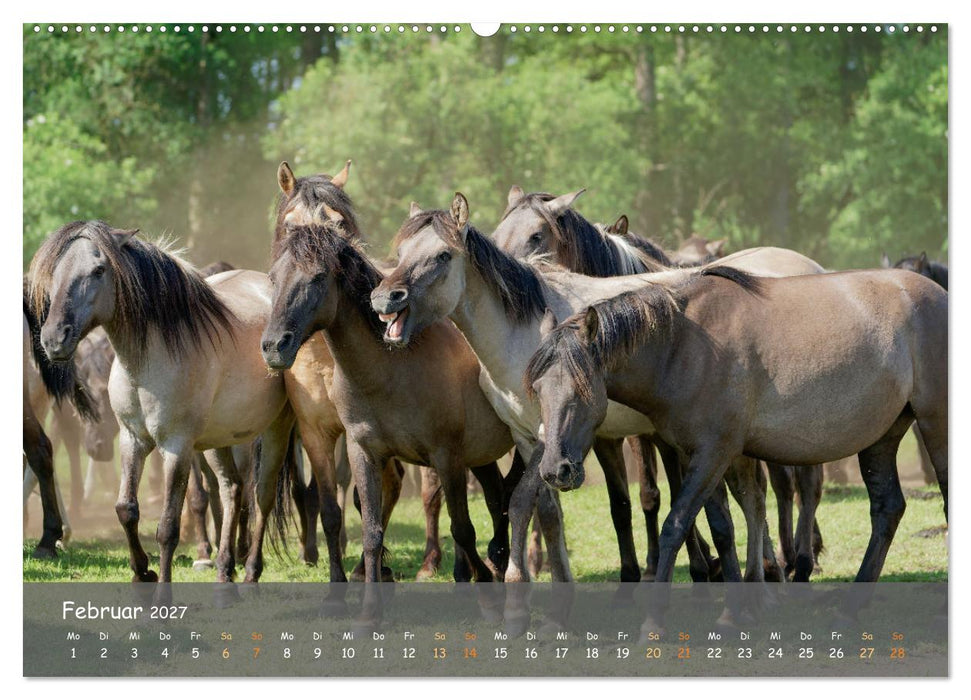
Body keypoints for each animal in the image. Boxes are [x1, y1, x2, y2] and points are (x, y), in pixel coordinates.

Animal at [28, 221, 296, 594]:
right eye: (55, 271)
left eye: (98, 270)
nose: (53, 340)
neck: (149, 360)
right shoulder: (133, 439)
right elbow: (126, 509)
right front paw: (143, 572)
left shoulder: (176, 447)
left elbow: (168, 527)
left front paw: (162, 593)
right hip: (219, 440)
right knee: (231, 489)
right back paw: (224, 572)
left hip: (274, 430)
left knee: (262, 495)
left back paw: (250, 572)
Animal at [260, 212, 514, 589]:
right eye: (273, 277)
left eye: (318, 277)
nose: (275, 346)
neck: (392, 371)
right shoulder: (360, 451)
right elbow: (368, 530)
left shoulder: (447, 457)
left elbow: (463, 529)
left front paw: (476, 575)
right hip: (481, 454)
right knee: (498, 498)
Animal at [371, 193, 824, 584]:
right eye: (401, 253)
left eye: (442, 255)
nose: (384, 297)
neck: (523, 331)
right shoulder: (529, 438)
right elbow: (548, 512)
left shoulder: (553, 434)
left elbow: (525, 503)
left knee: (781, 489)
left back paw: (790, 564)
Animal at [524, 266, 947, 595]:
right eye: (539, 389)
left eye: (583, 390)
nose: (555, 470)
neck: (685, 346)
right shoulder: (699, 454)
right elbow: (722, 528)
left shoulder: (715, 452)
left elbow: (676, 525)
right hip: (882, 436)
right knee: (887, 509)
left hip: (935, 424)